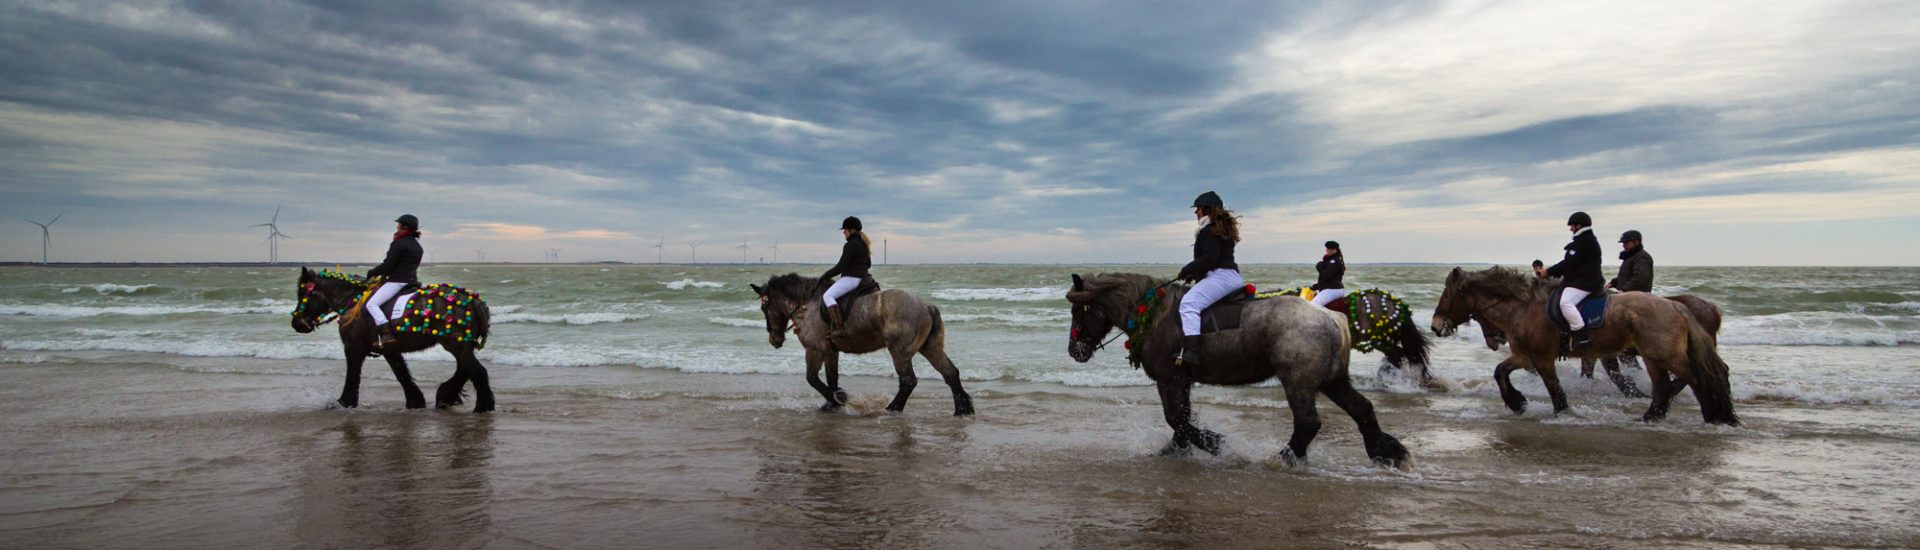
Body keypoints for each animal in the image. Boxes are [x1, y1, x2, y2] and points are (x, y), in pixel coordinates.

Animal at [288, 267, 495, 411]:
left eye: (302, 293)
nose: (296, 323)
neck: (352, 301)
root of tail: (475, 302)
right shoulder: (390, 350)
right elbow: (401, 374)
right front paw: (415, 401)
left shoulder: (353, 348)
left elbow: (353, 375)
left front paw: (344, 402)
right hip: (459, 344)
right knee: (465, 369)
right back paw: (446, 395)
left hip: (456, 344)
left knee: (477, 371)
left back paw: (483, 406)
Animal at [748, 273, 975, 415]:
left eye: (764, 308)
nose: (774, 340)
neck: (808, 306)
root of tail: (926, 305)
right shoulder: (831, 352)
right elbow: (831, 377)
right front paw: (832, 402)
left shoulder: (814, 350)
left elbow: (812, 379)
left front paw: (838, 399)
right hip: (930, 348)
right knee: (950, 373)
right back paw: (962, 409)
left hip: (899, 352)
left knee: (908, 381)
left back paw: (892, 408)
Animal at [1067, 273, 1413, 465]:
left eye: (1079, 309)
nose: (1075, 350)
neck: (1152, 312)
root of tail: (1330, 316)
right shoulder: (1182, 380)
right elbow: (1181, 419)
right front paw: (1178, 450)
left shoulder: (1170, 378)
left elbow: (1176, 418)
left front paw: (1212, 443)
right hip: (1333, 380)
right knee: (1362, 409)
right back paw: (1387, 452)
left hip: (1299, 382)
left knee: (1308, 422)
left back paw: (1286, 458)